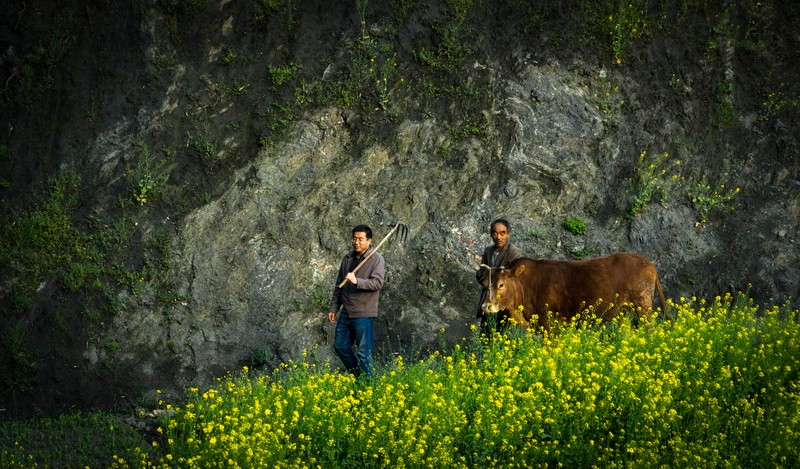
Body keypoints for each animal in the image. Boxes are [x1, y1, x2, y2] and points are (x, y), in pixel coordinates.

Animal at [478, 252, 664, 330]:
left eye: (501, 284)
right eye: (486, 284)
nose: (486, 306)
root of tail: (648, 262)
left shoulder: (549, 324)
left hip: (643, 306)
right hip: (624, 312)